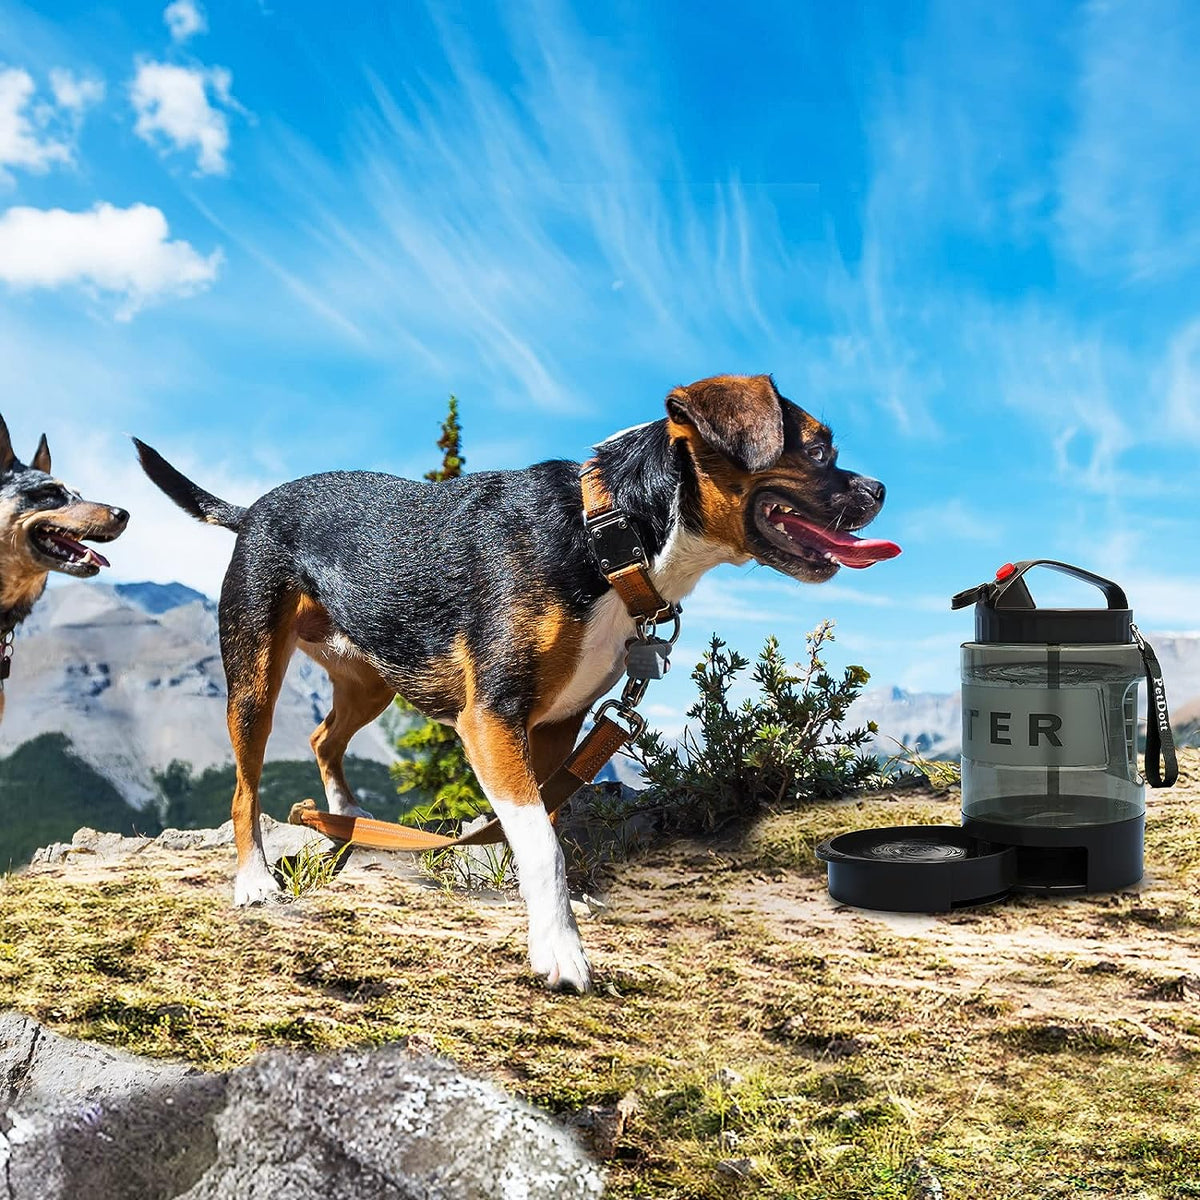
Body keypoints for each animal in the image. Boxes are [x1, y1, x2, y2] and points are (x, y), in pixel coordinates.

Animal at [136, 376, 897, 993]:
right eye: (820, 450)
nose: (881, 489)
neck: (606, 535)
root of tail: (251, 510)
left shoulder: (558, 723)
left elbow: (542, 823)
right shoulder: (491, 716)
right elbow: (542, 841)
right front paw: (560, 948)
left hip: (374, 675)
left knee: (325, 737)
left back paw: (348, 817)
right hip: (254, 677)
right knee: (246, 785)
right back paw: (255, 880)